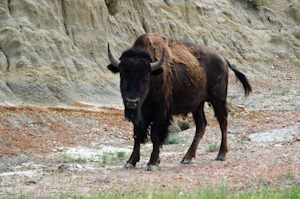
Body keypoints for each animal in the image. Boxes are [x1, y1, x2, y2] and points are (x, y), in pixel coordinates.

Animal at [106, 33, 252, 170]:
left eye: (146, 76)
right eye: (122, 74)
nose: (132, 101)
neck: (154, 73)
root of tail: (223, 59)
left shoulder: (161, 112)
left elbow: (155, 136)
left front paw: (152, 163)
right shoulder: (140, 114)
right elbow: (137, 135)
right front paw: (130, 162)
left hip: (218, 99)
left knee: (223, 122)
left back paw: (221, 155)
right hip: (198, 105)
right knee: (201, 125)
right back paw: (187, 158)